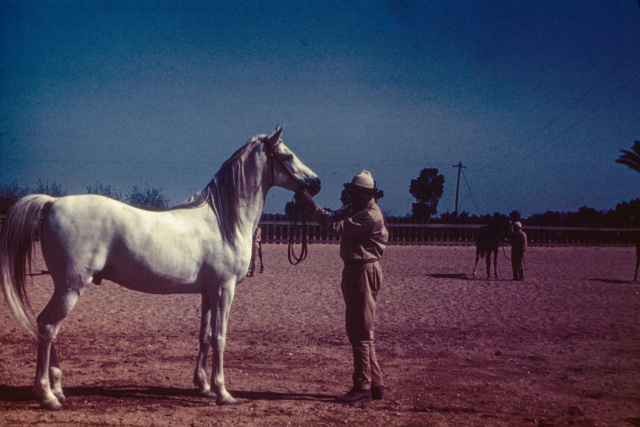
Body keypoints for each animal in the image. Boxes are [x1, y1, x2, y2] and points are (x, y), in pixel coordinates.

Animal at [0, 128, 320, 412]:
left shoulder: (207, 292)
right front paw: (223, 393)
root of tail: (53, 202)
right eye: (287, 155)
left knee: (46, 327)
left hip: (65, 287)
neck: (224, 220)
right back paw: (47, 396)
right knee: (48, 327)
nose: (315, 183)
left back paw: (57, 389)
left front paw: (203, 386)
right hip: (71, 287)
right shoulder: (224, 289)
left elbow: (205, 336)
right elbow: (220, 337)